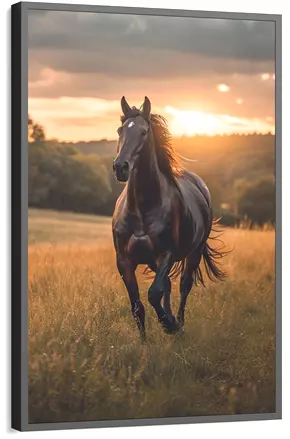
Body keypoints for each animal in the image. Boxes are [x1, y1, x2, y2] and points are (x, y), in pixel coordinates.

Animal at [111, 98, 224, 342]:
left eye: (144, 132)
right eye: (120, 130)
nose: (120, 167)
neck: (141, 209)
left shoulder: (166, 254)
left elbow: (154, 293)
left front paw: (169, 325)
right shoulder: (124, 260)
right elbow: (137, 306)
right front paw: (144, 343)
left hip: (193, 253)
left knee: (183, 285)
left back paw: (178, 324)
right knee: (169, 286)